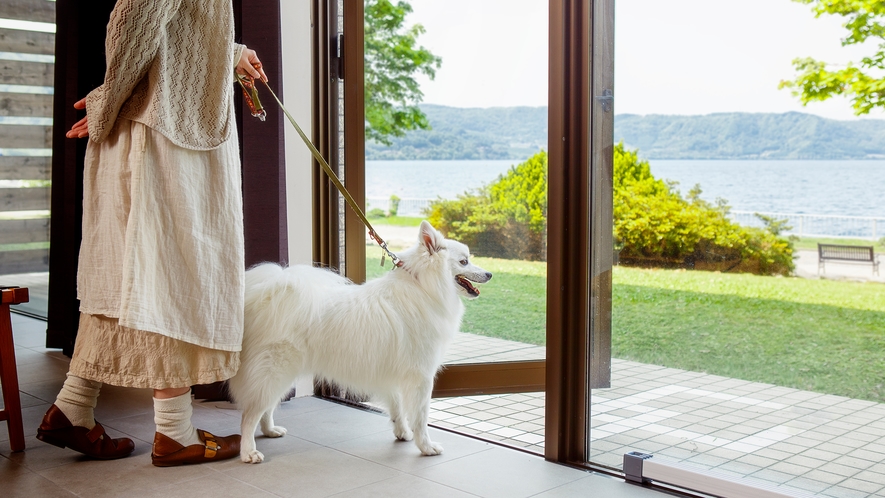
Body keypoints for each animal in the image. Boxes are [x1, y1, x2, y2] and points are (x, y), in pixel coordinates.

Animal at [228, 221, 490, 462]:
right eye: (464, 262)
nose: (490, 274)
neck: (423, 286)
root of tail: (265, 296)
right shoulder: (421, 376)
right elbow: (420, 417)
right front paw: (426, 447)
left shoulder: (393, 373)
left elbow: (397, 408)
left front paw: (402, 433)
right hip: (275, 370)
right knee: (249, 414)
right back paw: (249, 452)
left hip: (281, 374)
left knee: (264, 407)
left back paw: (270, 430)